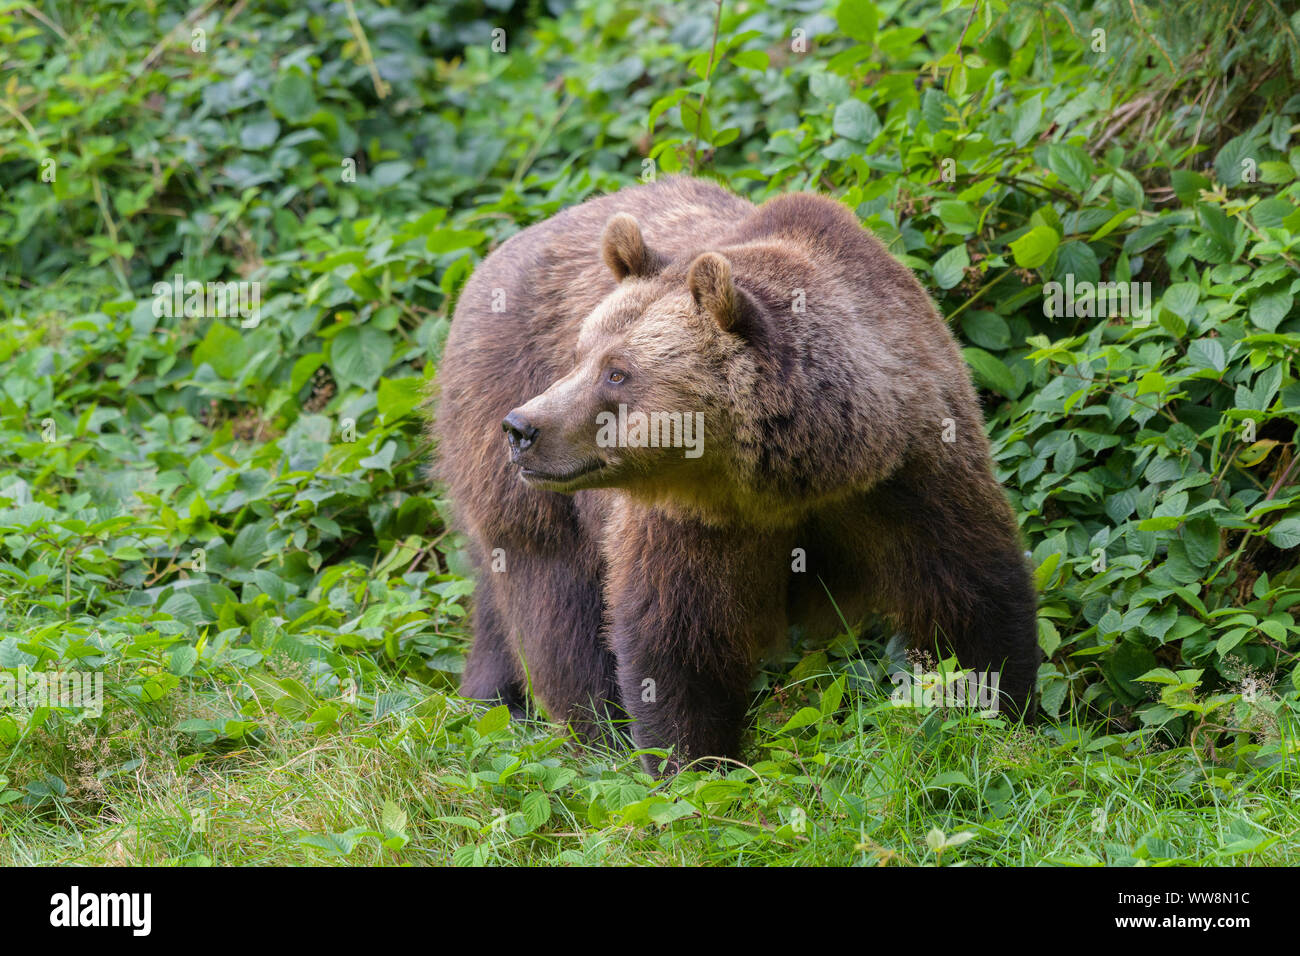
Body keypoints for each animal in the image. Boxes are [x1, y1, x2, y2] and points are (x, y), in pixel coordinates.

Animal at [434, 175, 1039, 771]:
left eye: (617, 373)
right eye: (580, 356)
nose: (523, 428)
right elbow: (676, 638)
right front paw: (693, 762)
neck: (802, 474)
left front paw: (1003, 715)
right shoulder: (694, 519)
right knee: (553, 596)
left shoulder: (910, 471)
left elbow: (969, 590)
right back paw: (593, 736)